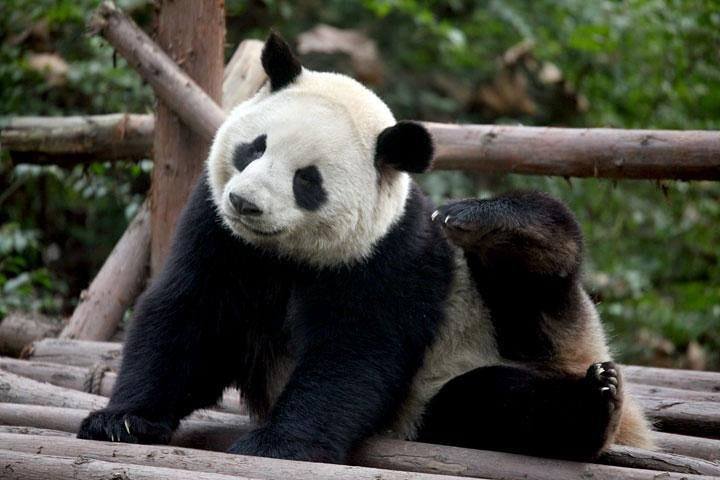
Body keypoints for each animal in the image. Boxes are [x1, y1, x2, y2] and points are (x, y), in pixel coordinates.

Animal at [78, 32, 653, 462]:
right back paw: (589, 403)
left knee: (542, 267)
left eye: (307, 180)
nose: (245, 203)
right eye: (254, 148)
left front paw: (277, 444)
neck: (284, 253)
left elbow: (353, 354)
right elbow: (189, 316)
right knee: (489, 404)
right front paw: (121, 420)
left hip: (512, 331)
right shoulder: (217, 230)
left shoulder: (387, 255)